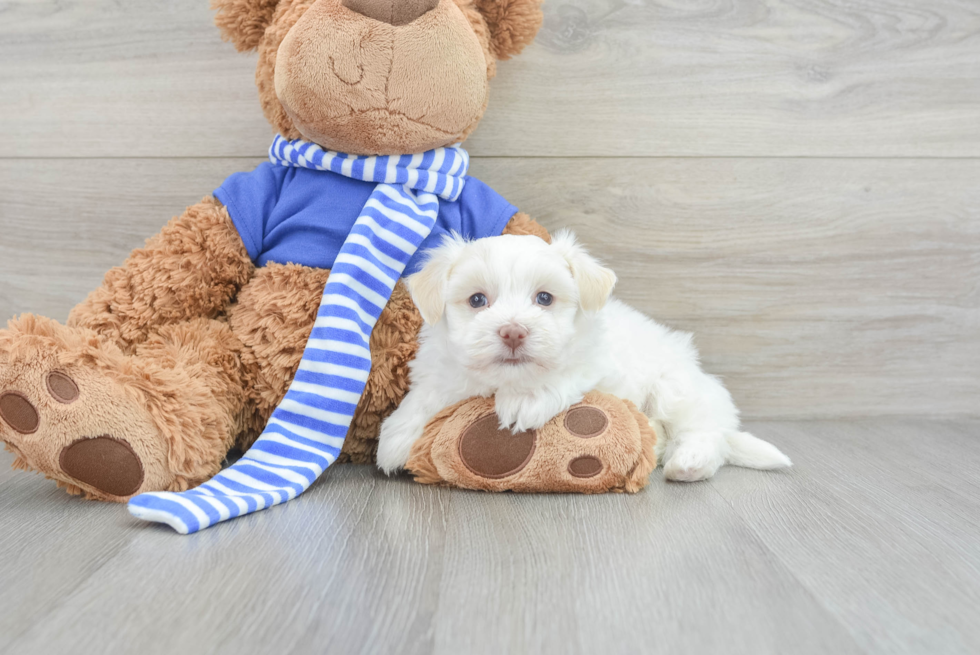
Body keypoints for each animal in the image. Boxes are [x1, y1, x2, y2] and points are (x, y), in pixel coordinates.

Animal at [378, 231, 792, 482]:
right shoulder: (442, 368)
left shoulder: (598, 360)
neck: (502, 381)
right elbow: (429, 394)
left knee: (704, 433)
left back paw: (689, 462)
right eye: (477, 300)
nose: (513, 331)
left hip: (677, 388)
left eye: (544, 298)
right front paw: (398, 435)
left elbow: (561, 372)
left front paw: (524, 399)